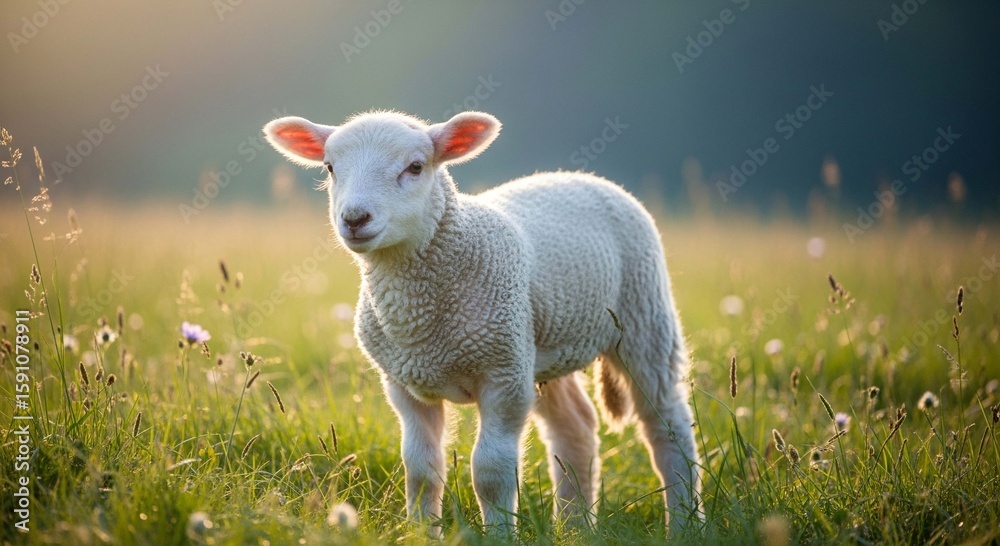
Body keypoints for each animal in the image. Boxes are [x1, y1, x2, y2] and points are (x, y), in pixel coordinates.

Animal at [262, 110, 701, 535]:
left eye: (415, 167)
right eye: (330, 167)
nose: (354, 218)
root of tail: (580, 176)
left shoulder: (503, 377)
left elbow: (490, 471)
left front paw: (501, 534)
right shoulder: (405, 384)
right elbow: (422, 471)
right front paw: (421, 533)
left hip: (643, 317)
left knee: (668, 427)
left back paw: (683, 524)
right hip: (541, 347)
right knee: (575, 429)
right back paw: (575, 525)